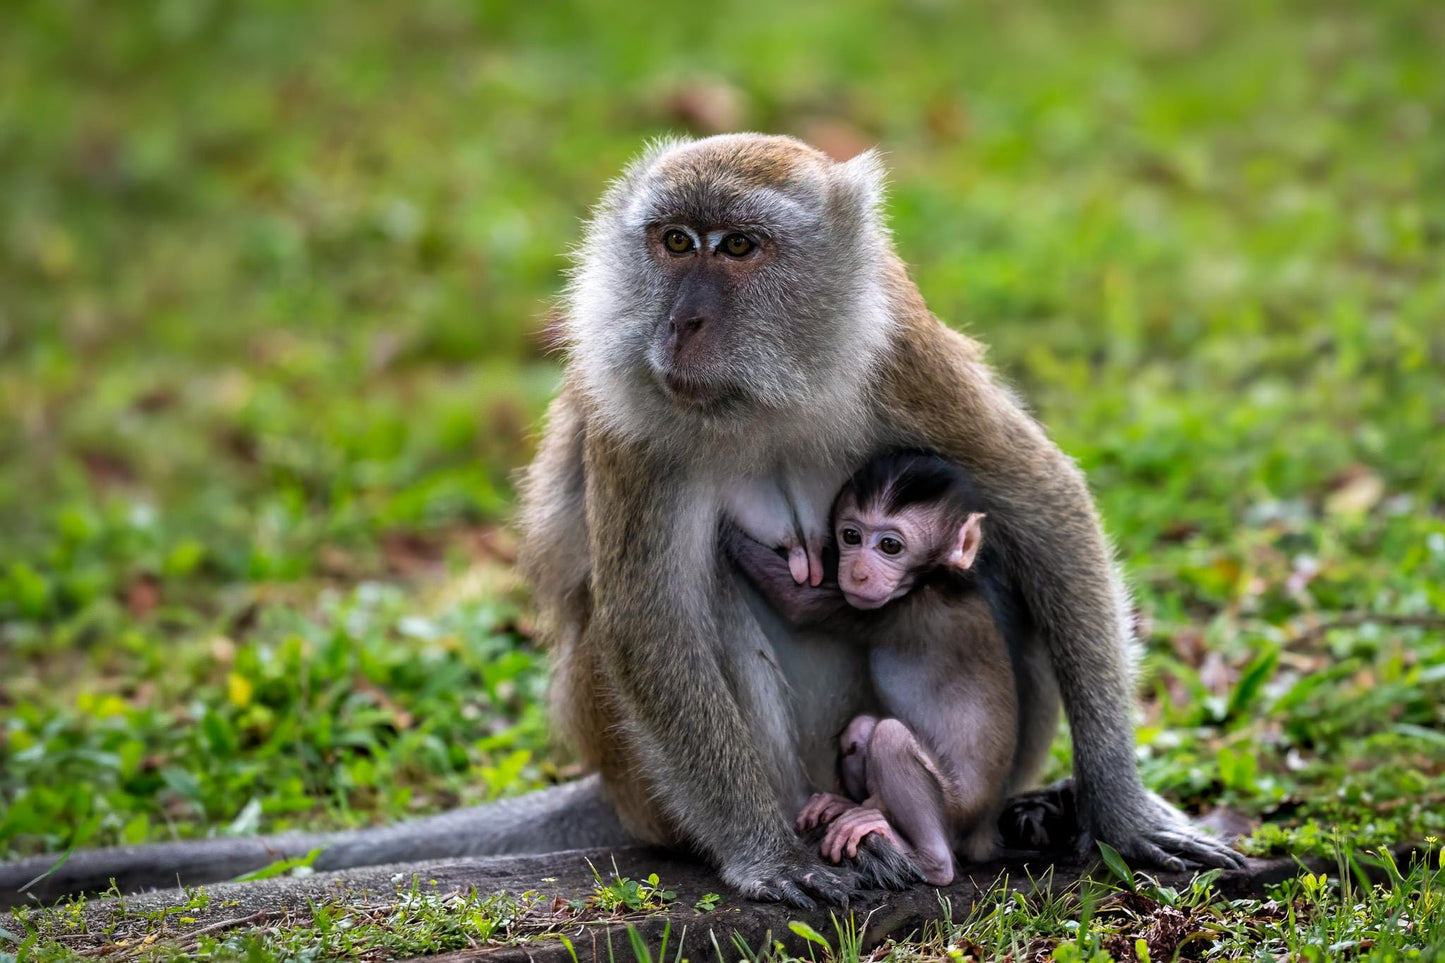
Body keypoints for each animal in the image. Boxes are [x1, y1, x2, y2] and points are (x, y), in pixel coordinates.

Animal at [725, 448, 1019, 886]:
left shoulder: (895, 611)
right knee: (862, 729)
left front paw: (727, 534)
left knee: (890, 737)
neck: (936, 579)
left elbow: (797, 602)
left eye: (890, 546)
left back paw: (927, 858)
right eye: (851, 537)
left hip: (957, 809)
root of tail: (983, 829)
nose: (858, 572)